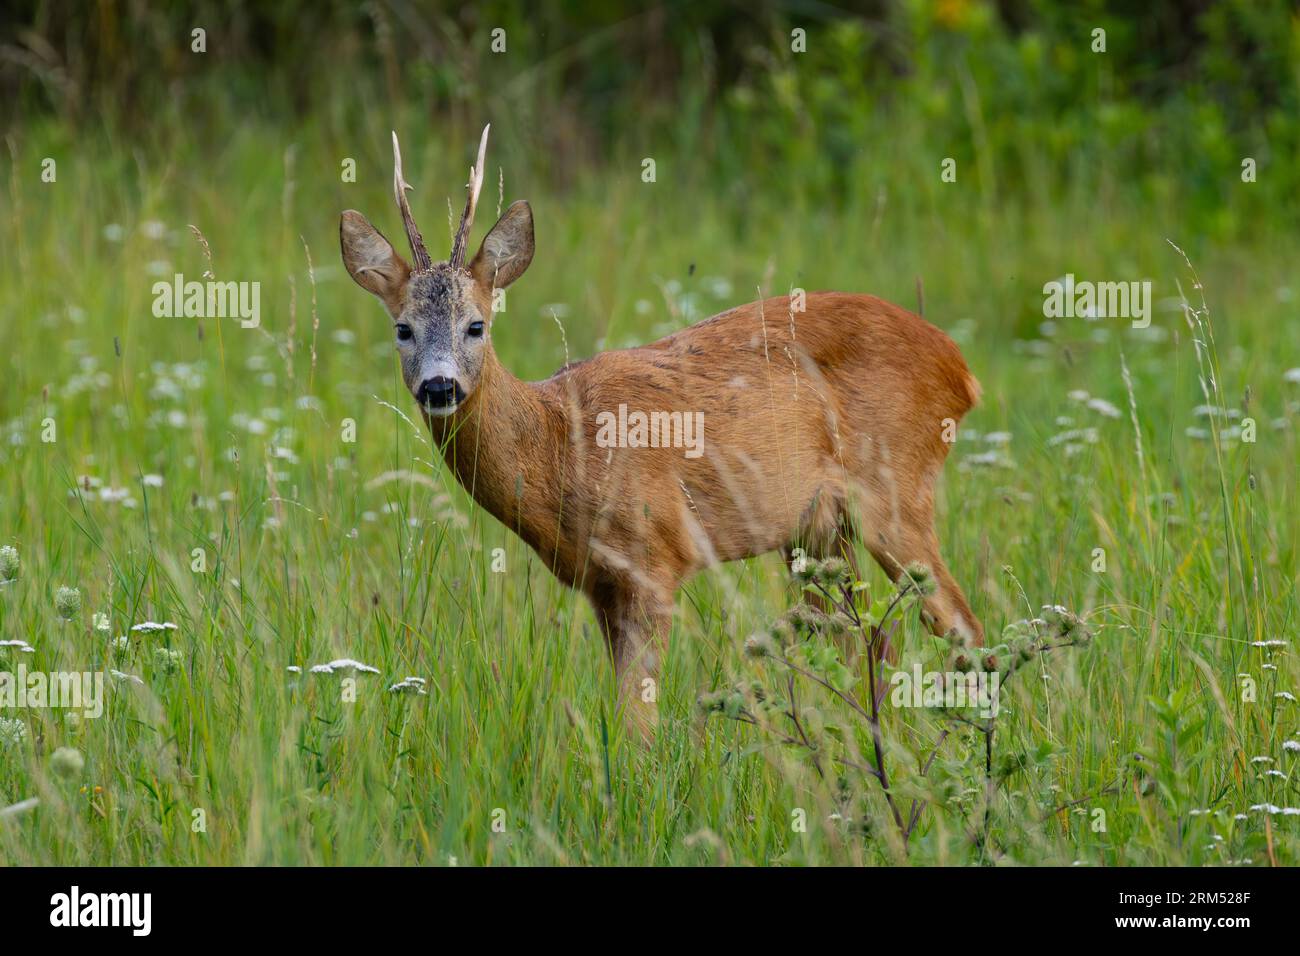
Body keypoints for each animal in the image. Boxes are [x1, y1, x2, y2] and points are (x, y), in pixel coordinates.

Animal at [340, 127, 977, 738]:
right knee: (868, 640)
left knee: (960, 627)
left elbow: (637, 723)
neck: (560, 443)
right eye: (402, 329)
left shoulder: (655, 558)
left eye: (476, 325)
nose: (439, 386)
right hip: (818, 530)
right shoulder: (599, 584)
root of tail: (960, 368)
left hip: (896, 491)